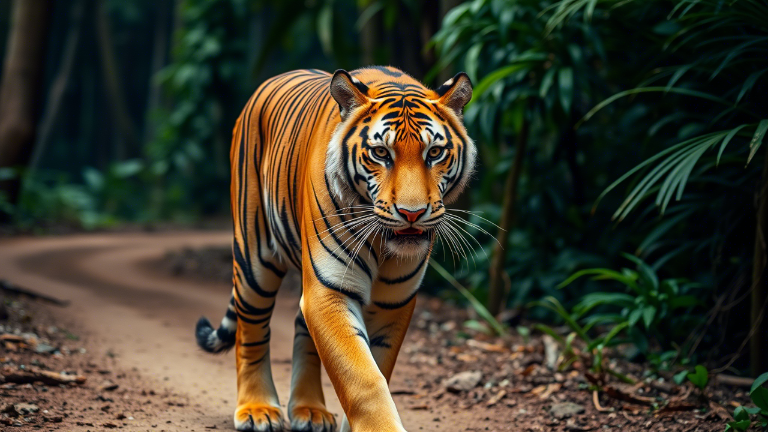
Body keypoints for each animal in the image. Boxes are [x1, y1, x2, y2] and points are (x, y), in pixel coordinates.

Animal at [195, 66, 475, 432]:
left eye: (434, 153)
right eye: (381, 153)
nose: (412, 213)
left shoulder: (394, 302)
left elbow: (378, 367)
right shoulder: (329, 290)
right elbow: (363, 378)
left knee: (301, 328)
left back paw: (309, 410)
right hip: (254, 259)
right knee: (251, 330)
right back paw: (258, 410)